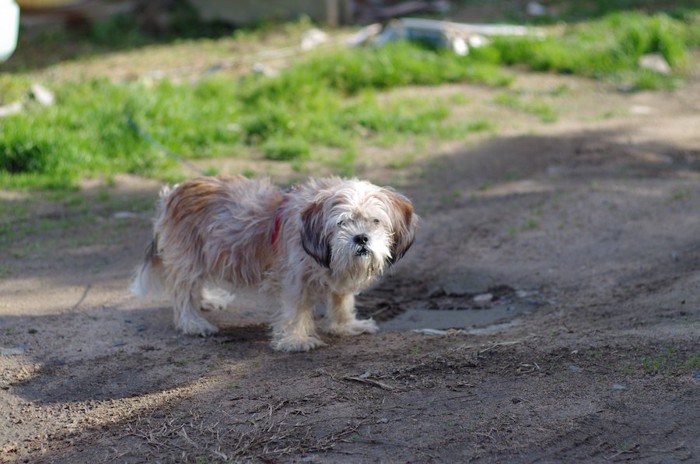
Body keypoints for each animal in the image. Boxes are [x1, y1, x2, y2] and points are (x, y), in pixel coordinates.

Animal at [130, 176, 416, 350]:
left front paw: (346, 326)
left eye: (375, 221)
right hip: (188, 260)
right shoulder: (295, 280)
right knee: (181, 295)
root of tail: (171, 194)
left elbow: (342, 302)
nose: (361, 238)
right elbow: (297, 309)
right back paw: (192, 322)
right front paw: (296, 339)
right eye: (342, 223)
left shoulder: (339, 281)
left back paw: (207, 300)